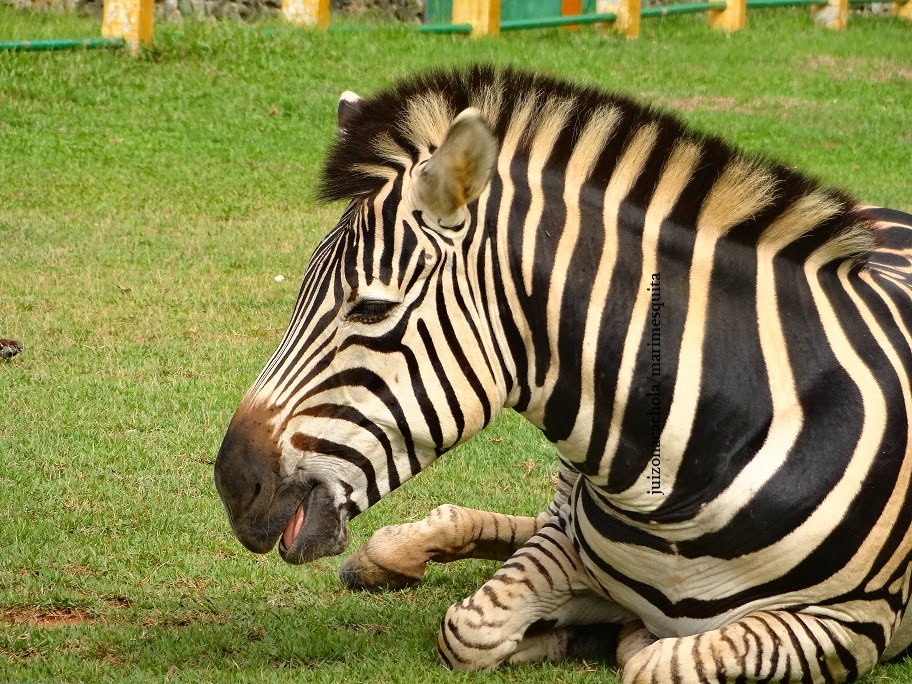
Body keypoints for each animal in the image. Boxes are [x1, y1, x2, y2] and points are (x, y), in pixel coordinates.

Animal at [216, 65, 912, 684]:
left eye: (370, 308)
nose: (231, 483)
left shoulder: (853, 622)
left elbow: (659, 661)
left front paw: (604, 635)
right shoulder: (567, 547)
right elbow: (470, 627)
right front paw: (575, 631)